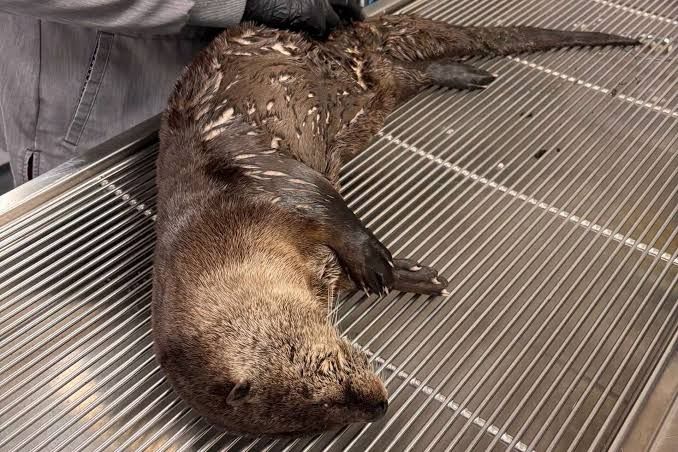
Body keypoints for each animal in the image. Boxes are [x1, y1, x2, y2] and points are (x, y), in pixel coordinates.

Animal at [153, 13, 638, 437]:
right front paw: (413, 275)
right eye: (313, 420)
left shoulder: (264, 176)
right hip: (373, 96)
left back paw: (463, 73)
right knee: (401, 75)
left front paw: (379, 266)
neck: (224, 227)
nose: (379, 406)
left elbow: (327, 206)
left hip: (358, 77)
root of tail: (340, 46)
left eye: (322, 375)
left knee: (407, 70)